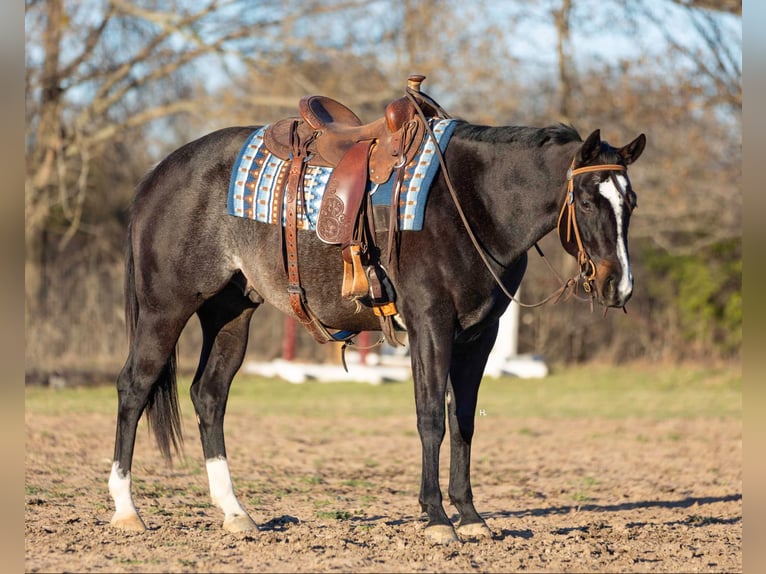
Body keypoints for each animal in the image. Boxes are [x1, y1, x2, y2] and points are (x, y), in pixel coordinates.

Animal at [108, 102, 646, 544]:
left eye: (631, 202)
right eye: (589, 200)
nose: (618, 286)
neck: (472, 202)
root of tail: (159, 173)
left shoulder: (480, 336)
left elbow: (464, 421)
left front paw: (470, 515)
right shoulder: (430, 325)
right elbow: (431, 419)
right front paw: (437, 518)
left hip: (230, 314)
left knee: (209, 396)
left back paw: (235, 512)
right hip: (164, 309)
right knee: (134, 387)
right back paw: (126, 510)